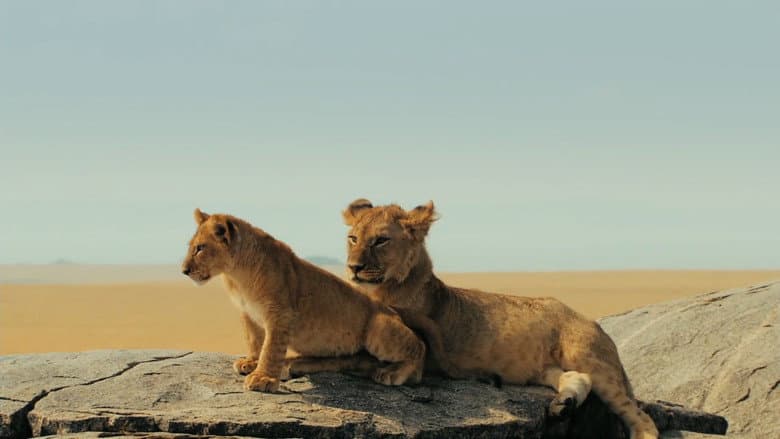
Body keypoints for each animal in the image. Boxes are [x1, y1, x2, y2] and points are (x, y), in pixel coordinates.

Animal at [181, 208, 471, 392]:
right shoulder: (248, 313)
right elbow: (255, 340)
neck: (237, 275)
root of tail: (393, 310)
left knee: (418, 349)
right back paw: (297, 365)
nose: (183, 270)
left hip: (379, 327)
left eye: (200, 248)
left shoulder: (280, 314)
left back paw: (394, 374)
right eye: (191, 246)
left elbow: (271, 347)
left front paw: (263, 378)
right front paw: (251, 362)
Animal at [342, 199, 659, 439]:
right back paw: (562, 406)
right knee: (576, 377)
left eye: (381, 241)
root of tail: (593, 322)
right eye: (353, 238)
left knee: (642, 419)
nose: (353, 267)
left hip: (589, 357)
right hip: (541, 368)